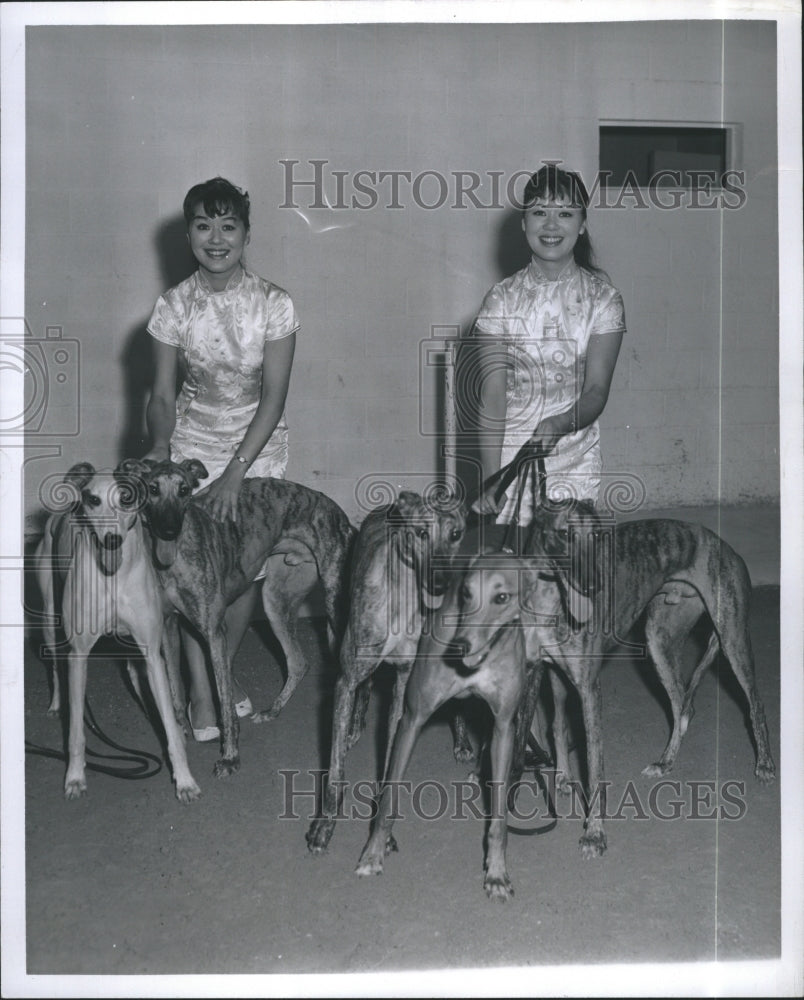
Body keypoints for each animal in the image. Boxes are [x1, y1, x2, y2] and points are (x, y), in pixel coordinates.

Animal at [35, 462, 201, 804]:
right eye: (93, 500)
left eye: (126, 497)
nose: (112, 540)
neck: (113, 577)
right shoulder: (79, 654)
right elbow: (76, 731)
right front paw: (75, 777)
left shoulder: (152, 653)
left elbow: (170, 723)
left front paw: (185, 780)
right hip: (49, 621)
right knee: (55, 665)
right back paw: (56, 703)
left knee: (134, 674)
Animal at [133, 460, 354, 780]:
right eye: (152, 489)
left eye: (184, 489)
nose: (169, 530)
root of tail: (339, 514)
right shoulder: (168, 629)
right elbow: (173, 688)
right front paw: (178, 731)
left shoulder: (214, 632)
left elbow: (225, 703)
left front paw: (230, 757)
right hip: (275, 601)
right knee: (298, 662)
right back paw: (273, 710)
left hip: (336, 605)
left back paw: (351, 732)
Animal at [304, 488, 464, 856]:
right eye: (421, 533)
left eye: (456, 534)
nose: (441, 584)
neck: (402, 598)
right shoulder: (346, 679)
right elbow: (335, 770)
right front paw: (324, 826)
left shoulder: (404, 684)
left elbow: (392, 756)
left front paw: (382, 830)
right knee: (365, 686)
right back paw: (354, 726)